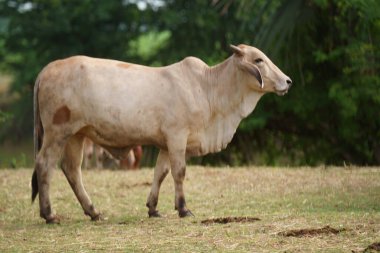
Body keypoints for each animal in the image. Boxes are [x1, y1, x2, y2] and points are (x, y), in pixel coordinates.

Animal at [31, 45, 290, 223]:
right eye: (258, 59)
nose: (287, 81)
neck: (208, 88)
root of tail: (46, 70)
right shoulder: (177, 137)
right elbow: (179, 172)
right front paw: (183, 208)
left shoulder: (166, 143)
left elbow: (160, 173)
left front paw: (153, 208)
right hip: (57, 133)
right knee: (45, 165)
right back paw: (49, 214)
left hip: (76, 135)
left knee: (72, 170)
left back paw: (93, 211)